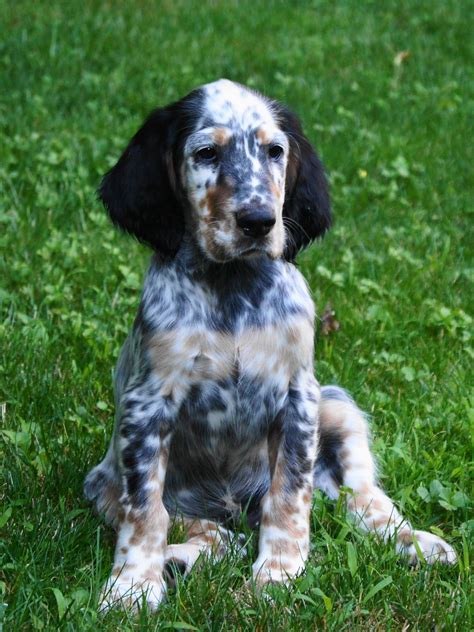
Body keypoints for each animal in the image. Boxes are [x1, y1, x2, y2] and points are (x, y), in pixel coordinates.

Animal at [84, 78, 456, 608]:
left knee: (365, 501)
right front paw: (133, 585)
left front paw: (278, 574)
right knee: (212, 533)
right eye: (206, 153)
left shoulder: (299, 397)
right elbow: (145, 510)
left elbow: (290, 495)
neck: (234, 289)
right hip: (104, 483)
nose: (259, 220)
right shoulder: (146, 406)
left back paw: (417, 542)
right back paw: (180, 560)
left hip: (337, 408)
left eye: (275, 151)